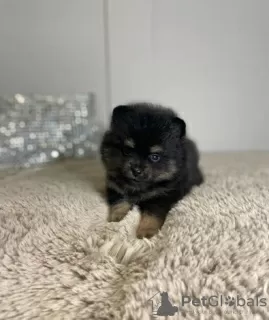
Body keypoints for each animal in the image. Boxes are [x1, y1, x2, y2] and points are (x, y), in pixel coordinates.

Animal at [99, 102, 202, 238]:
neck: (139, 188)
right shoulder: (115, 186)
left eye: (155, 157)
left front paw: (146, 231)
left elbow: (153, 214)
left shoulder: (161, 196)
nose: (136, 170)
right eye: (127, 151)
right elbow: (120, 202)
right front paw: (117, 218)